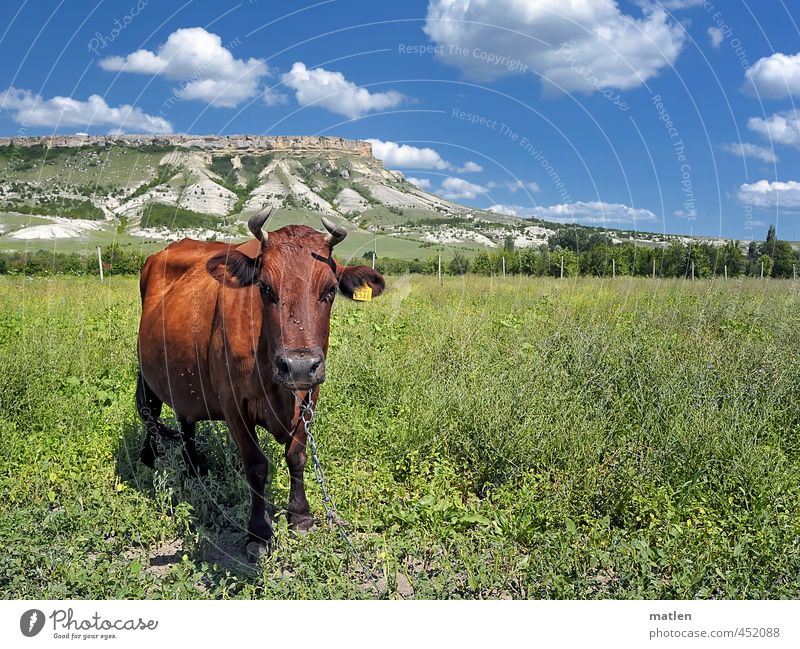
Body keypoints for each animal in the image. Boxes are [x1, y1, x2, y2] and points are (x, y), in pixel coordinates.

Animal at [136, 209, 386, 556]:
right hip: (147, 371)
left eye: (330, 290)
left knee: (186, 421)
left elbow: (297, 456)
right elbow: (256, 466)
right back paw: (148, 459)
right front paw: (259, 532)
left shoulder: (310, 395)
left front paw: (301, 516)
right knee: (151, 412)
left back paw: (194, 466)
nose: (298, 366)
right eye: (265, 288)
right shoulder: (234, 406)